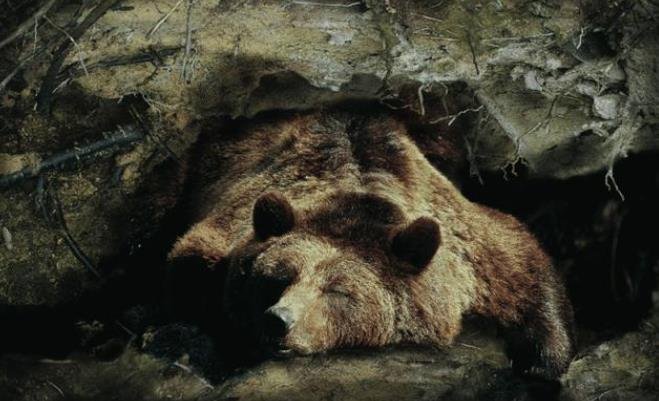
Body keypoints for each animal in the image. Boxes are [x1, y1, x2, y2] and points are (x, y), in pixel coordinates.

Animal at [166, 108, 576, 379]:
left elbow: (525, 270)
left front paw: (539, 363)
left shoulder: (475, 251)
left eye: (338, 291)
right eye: (277, 278)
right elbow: (194, 266)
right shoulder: (228, 224)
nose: (279, 320)